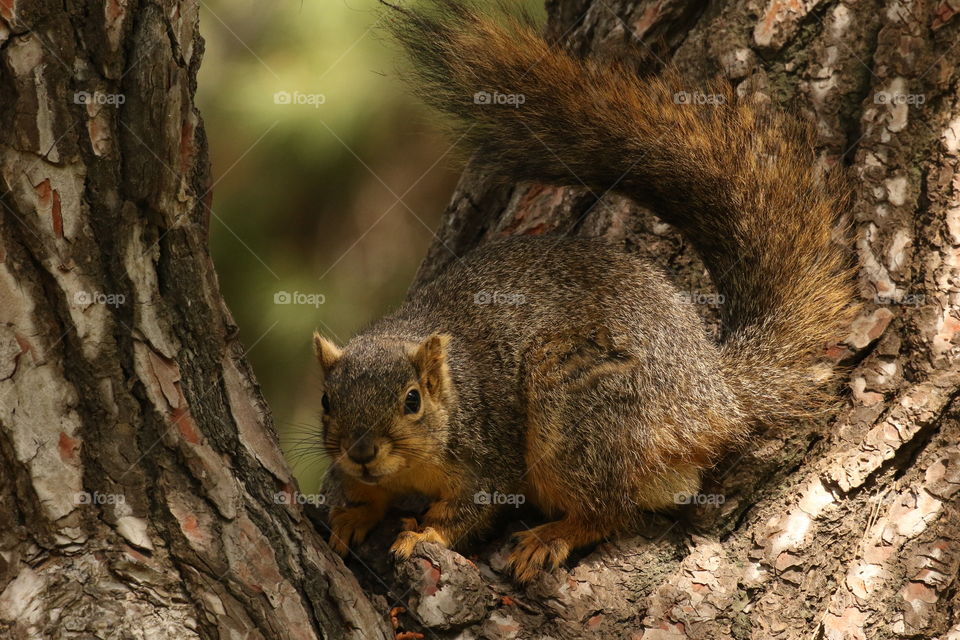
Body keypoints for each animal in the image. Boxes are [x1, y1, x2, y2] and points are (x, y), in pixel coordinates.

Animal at [314, 0, 856, 584]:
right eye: (326, 401)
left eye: (412, 400)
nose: (362, 451)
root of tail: (715, 396)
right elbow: (363, 495)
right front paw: (353, 515)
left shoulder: (489, 455)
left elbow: (471, 508)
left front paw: (425, 534)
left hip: (578, 409)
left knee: (608, 510)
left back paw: (552, 536)